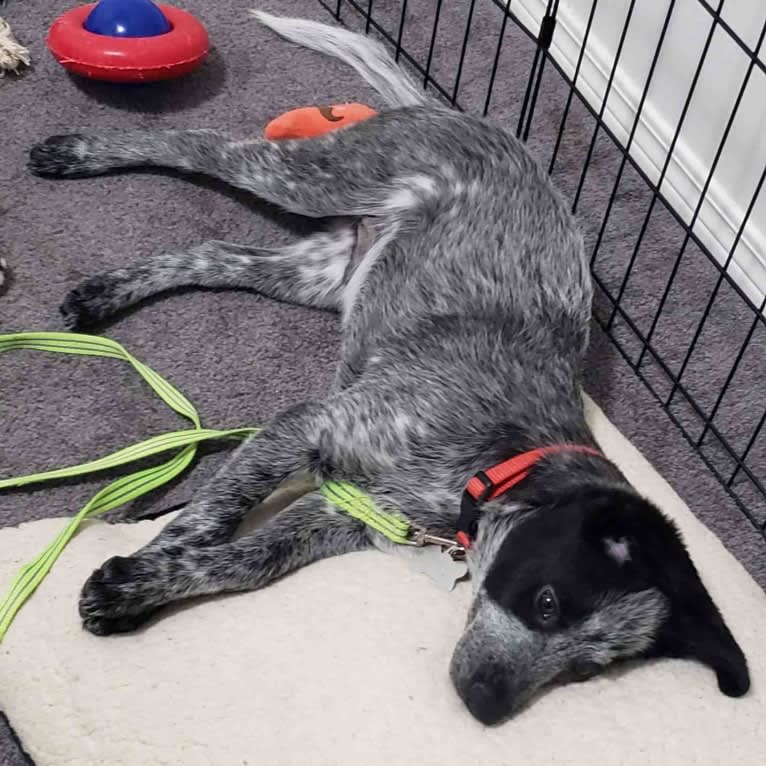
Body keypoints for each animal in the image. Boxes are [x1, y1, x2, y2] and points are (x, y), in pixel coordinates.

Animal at [28, 15, 752, 728]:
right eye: (548, 603)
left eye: (587, 668)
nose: (485, 706)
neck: (495, 465)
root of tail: (463, 115)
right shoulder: (308, 427)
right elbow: (207, 516)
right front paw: (147, 568)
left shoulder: (342, 511)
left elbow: (249, 561)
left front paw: (148, 583)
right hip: (313, 176)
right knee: (199, 143)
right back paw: (77, 152)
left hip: (321, 273)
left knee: (213, 253)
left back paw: (106, 292)